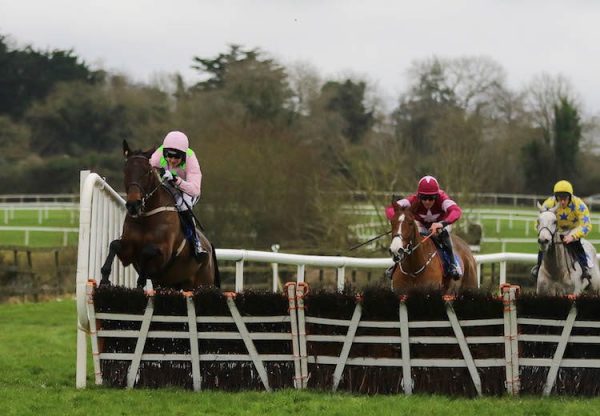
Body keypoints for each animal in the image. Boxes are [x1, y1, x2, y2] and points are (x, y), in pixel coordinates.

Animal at [98, 140, 220, 290]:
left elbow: (146, 251)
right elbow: (114, 244)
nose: (133, 205)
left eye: (148, 171)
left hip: (202, 282)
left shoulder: (164, 254)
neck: (146, 218)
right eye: (126, 171)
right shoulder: (128, 253)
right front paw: (104, 279)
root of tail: (209, 246)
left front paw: (141, 280)